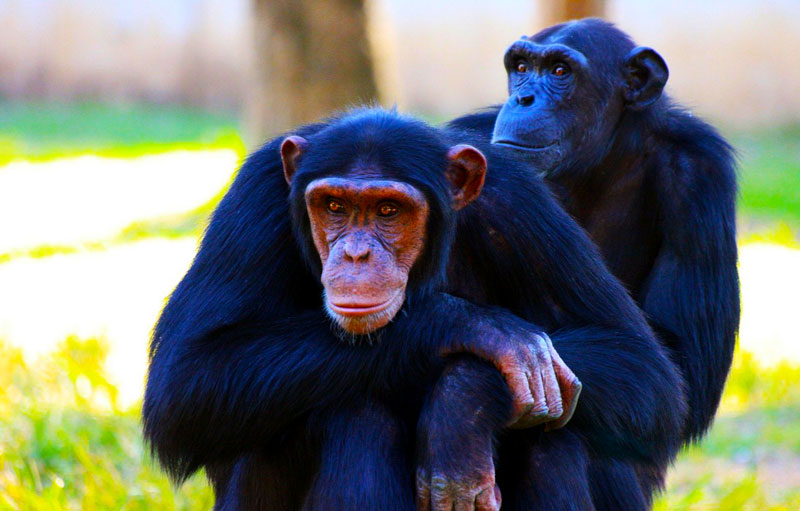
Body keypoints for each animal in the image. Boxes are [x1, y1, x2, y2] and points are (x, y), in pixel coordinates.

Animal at [142, 109, 680, 511]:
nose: (357, 254)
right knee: (356, 416)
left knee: (553, 431)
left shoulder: (520, 202)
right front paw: (477, 329)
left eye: (388, 210)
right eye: (334, 206)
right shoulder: (255, 198)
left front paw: (463, 406)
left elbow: (639, 364)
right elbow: (188, 375)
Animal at [450, 19, 736, 504]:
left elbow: (685, 376)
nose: (524, 98)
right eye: (521, 67)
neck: (596, 163)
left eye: (560, 71)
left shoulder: (702, 175)